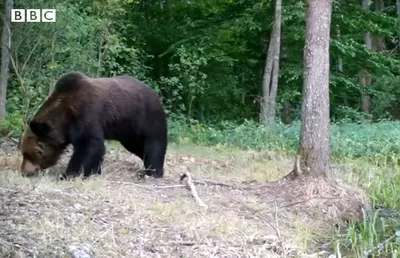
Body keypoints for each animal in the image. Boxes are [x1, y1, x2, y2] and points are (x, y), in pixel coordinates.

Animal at [19, 70, 167, 179]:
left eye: (29, 154)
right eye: (24, 153)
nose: (24, 172)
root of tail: (155, 93)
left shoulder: (86, 115)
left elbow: (89, 145)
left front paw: (68, 174)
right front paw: (94, 171)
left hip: (146, 117)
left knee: (154, 143)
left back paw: (153, 171)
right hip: (128, 131)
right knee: (138, 146)